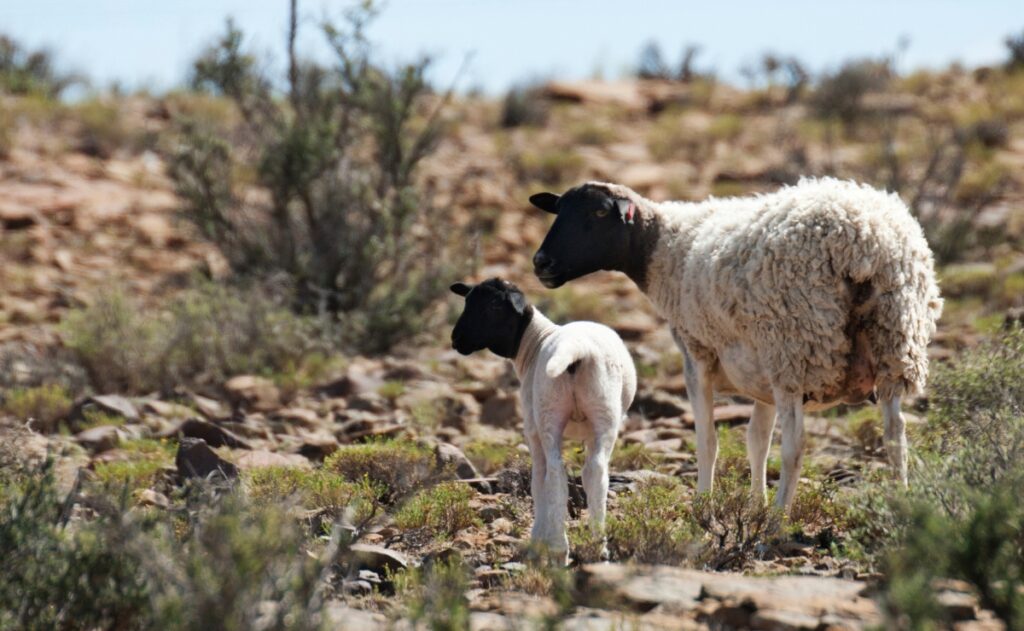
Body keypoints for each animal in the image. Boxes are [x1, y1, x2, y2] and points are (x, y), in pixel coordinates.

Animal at [452, 278, 634, 561]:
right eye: (468, 300)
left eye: (492, 306)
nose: (456, 339)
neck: (534, 342)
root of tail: (578, 349)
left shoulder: (531, 428)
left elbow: (538, 481)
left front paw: (538, 537)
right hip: (605, 413)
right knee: (595, 471)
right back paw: (598, 546)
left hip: (548, 414)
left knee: (555, 473)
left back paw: (559, 547)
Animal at [532, 176, 937, 508]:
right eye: (559, 210)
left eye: (600, 212)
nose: (541, 263)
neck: (666, 248)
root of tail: (864, 241)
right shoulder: (762, 375)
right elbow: (756, 442)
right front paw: (755, 503)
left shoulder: (697, 353)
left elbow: (708, 442)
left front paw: (704, 505)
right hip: (894, 340)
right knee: (895, 436)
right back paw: (901, 504)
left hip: (796, 345)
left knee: (796, 446)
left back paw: (776, 523)